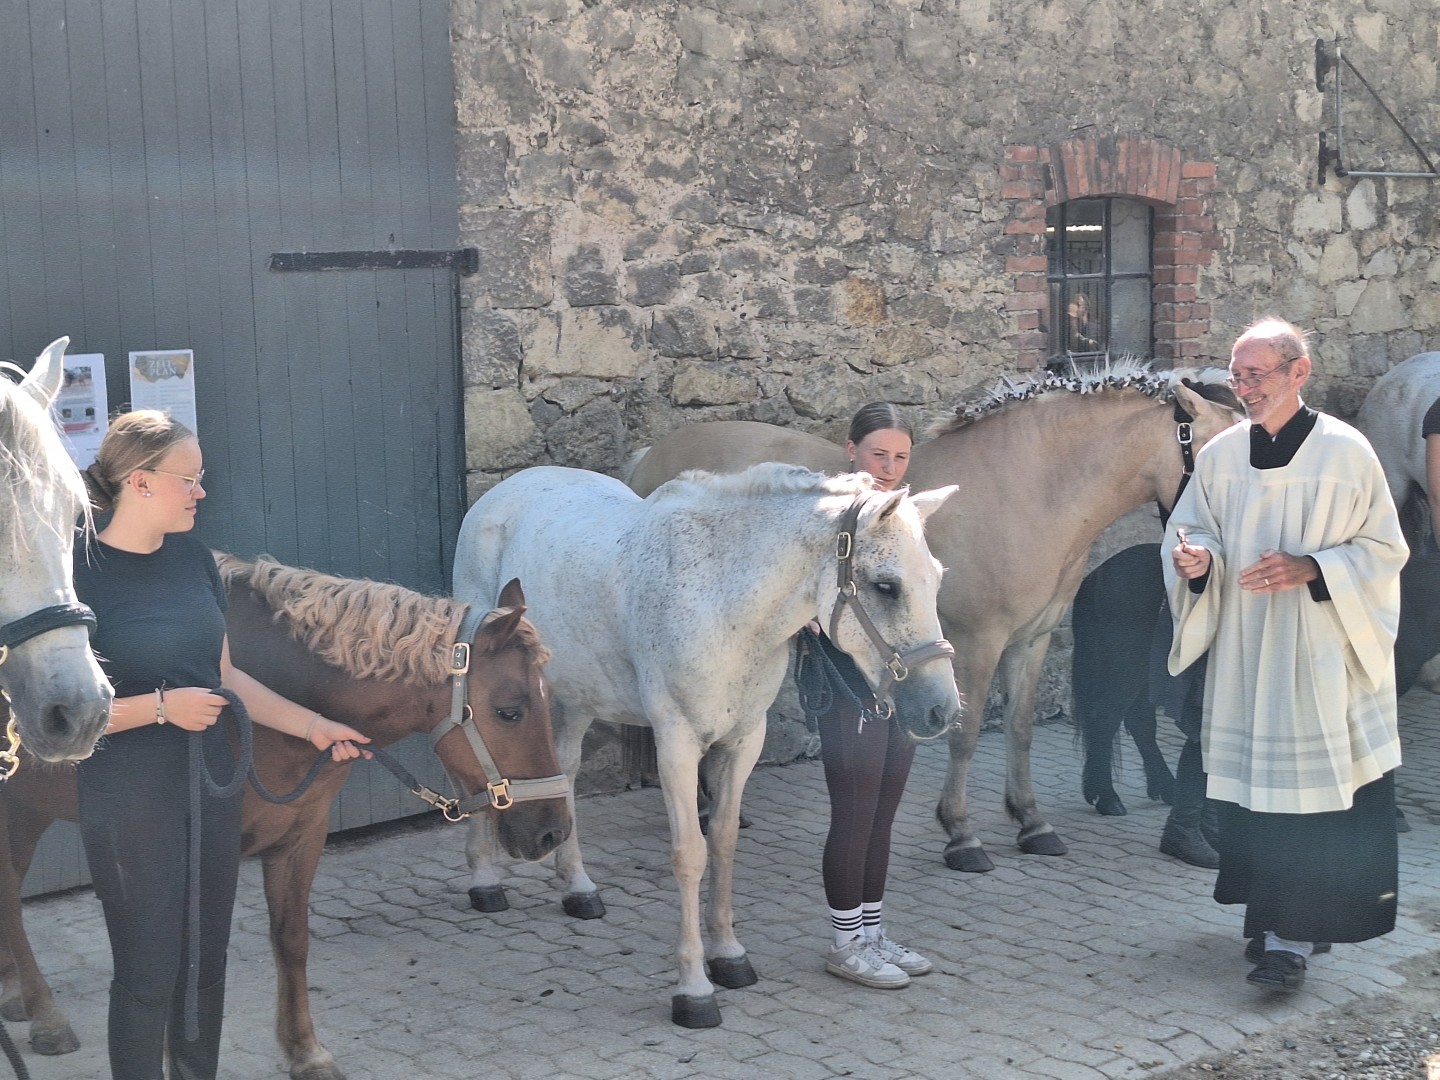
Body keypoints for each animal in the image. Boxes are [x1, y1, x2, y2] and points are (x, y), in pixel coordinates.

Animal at [0, 558, 570, 1080]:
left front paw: (305, 1051)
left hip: (27, 809)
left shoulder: (302, 835)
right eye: (510, 711)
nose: (554, 831)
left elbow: (292, 939)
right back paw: (47, 1016)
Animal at [455, 463, 961, 1025]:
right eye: (886, 586)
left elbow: (723, 842)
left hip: (576, 694)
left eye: (937, 578)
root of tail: (507, 489)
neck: (720, 602)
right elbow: (690, 854)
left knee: (562, 770)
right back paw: (485, 882)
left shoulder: (745, 740)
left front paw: (729, 957)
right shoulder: (676, 743)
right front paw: (694, 989)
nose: (941, 710)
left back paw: (578, 888)